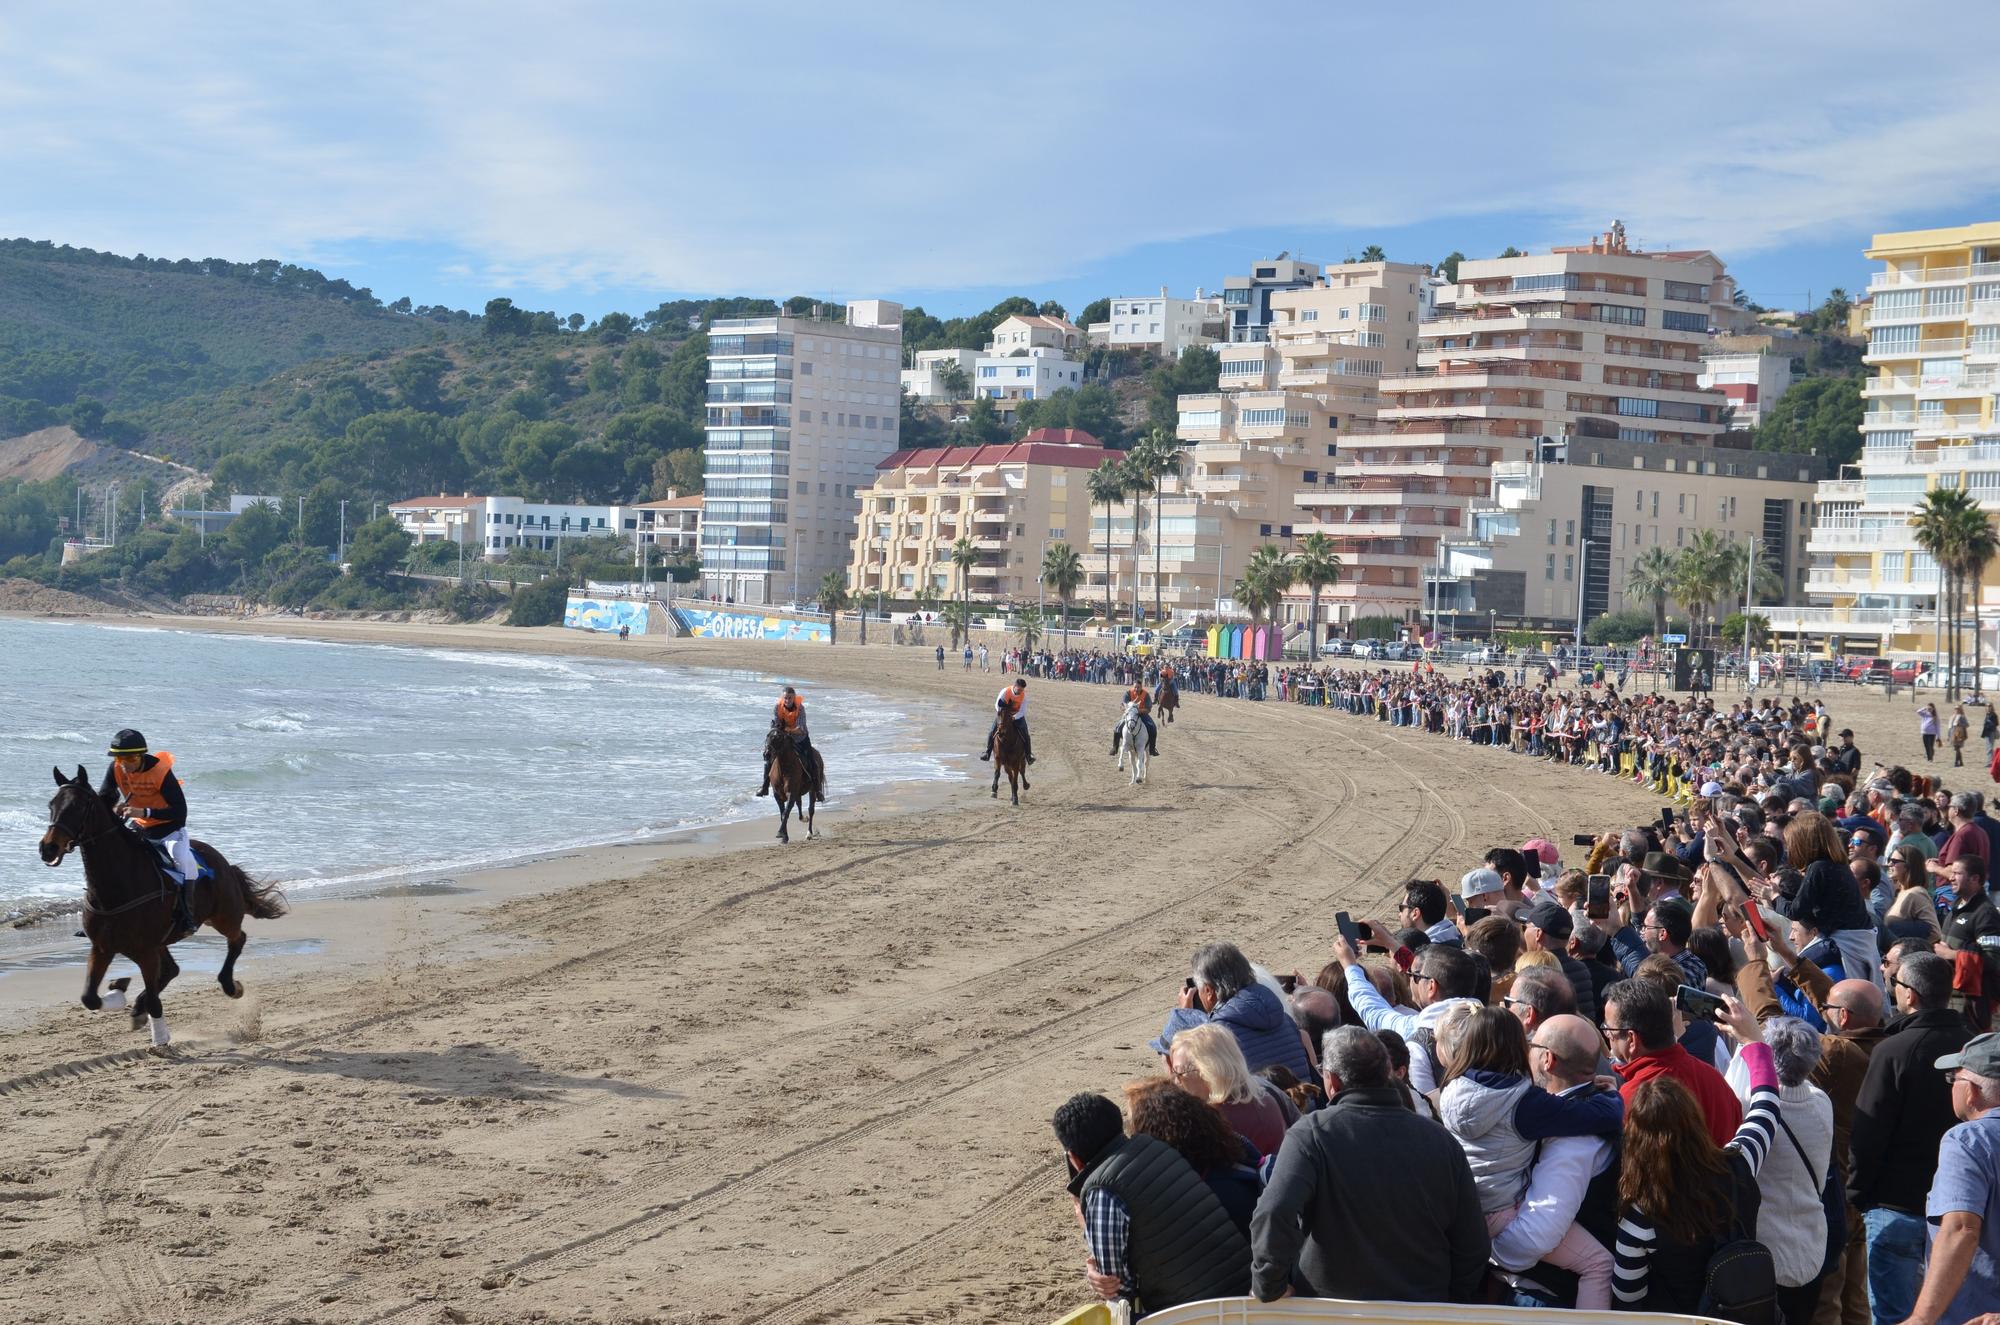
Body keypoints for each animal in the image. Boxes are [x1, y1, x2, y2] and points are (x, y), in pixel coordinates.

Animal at [40, 768, 286, 1048]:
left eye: (79, 806)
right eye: (51, 804)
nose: (48, 848)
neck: (116, 887)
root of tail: (225, 863)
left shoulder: (145, 951)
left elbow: (155, 1000)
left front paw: (160, 1039)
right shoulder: (102, 947)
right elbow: (89, 998)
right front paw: (120, 991)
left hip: (223, 916)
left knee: (238, 939)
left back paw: (231, 986)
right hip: (165, 939)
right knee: (172, 969)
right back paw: (138, 1006)